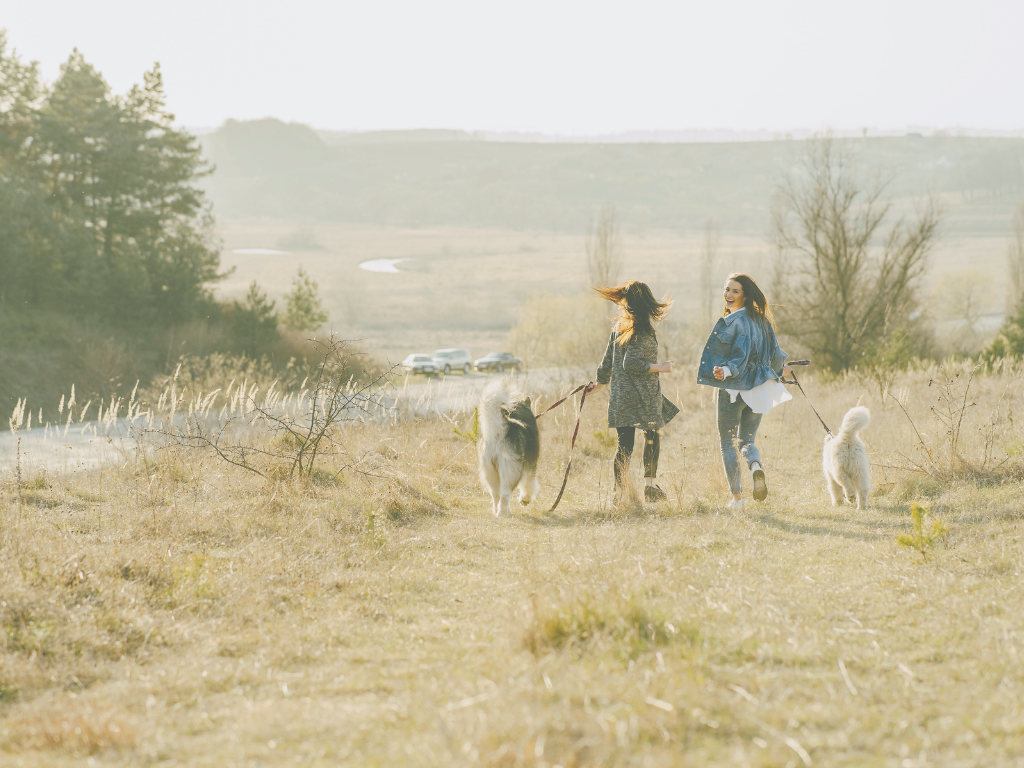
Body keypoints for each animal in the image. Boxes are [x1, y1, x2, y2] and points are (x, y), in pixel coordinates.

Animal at [479, 378, 544, 518]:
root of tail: (498, 432)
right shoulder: (531, 466)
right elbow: (528, 484)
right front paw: (525, 499)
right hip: (512, 472)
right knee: (505, 495)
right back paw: (504, 513)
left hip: (491, 472)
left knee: (496, 495)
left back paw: (496, 511)